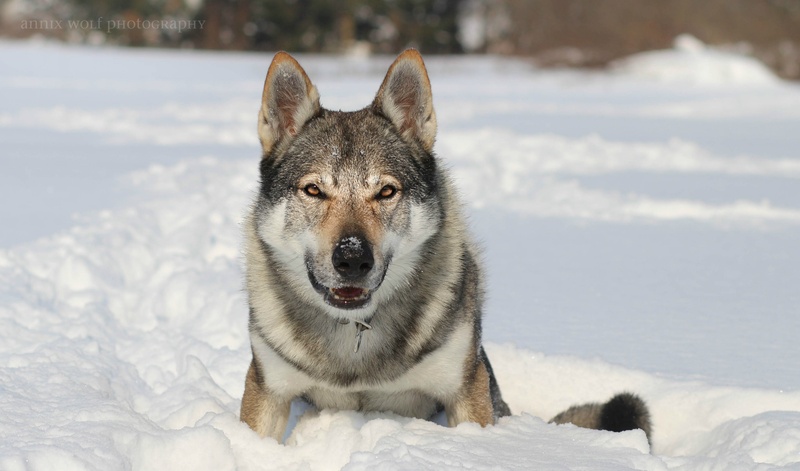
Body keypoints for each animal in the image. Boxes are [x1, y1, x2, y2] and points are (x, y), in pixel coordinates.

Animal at [240, 49, 652, 444]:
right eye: (313, 190)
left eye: (386, 191)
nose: (353, 257)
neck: (354, 338)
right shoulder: (267, 388)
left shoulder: (466, 390)